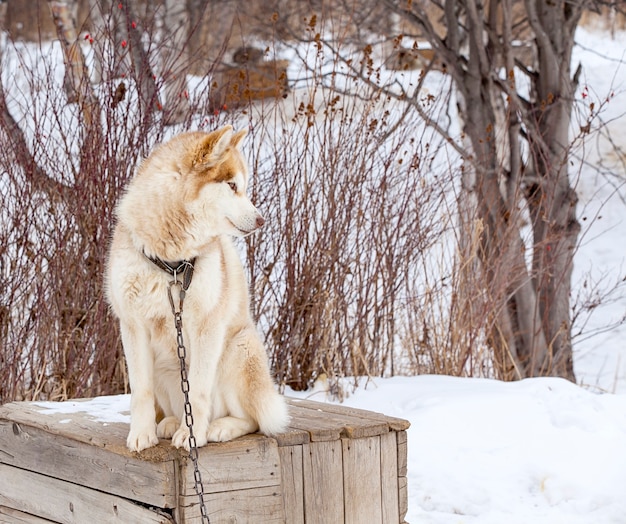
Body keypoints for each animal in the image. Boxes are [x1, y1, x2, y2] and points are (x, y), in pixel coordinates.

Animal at [106, 125, 288, 452]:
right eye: (232, 185)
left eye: (243, 187)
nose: (261, 220)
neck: (172, 264)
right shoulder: (133, 325)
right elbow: (141, 392)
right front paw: (142, 434)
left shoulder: (207, 326)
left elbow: (199, 389)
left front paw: (194, 435)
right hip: (165, 367)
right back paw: (170, 423)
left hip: (236, 351)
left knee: (254, 420)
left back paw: (219, 427)